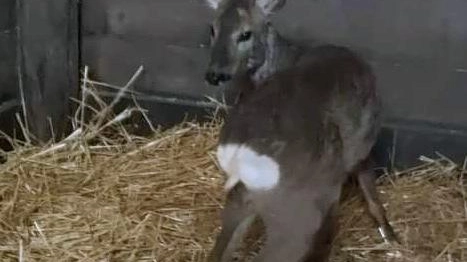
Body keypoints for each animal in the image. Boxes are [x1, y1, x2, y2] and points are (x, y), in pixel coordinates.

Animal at [205, 0, 398, 260]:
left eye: (245, 33)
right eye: (213, 29)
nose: (215, 74)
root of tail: (241, 156)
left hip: (241, 198)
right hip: (298, 207)